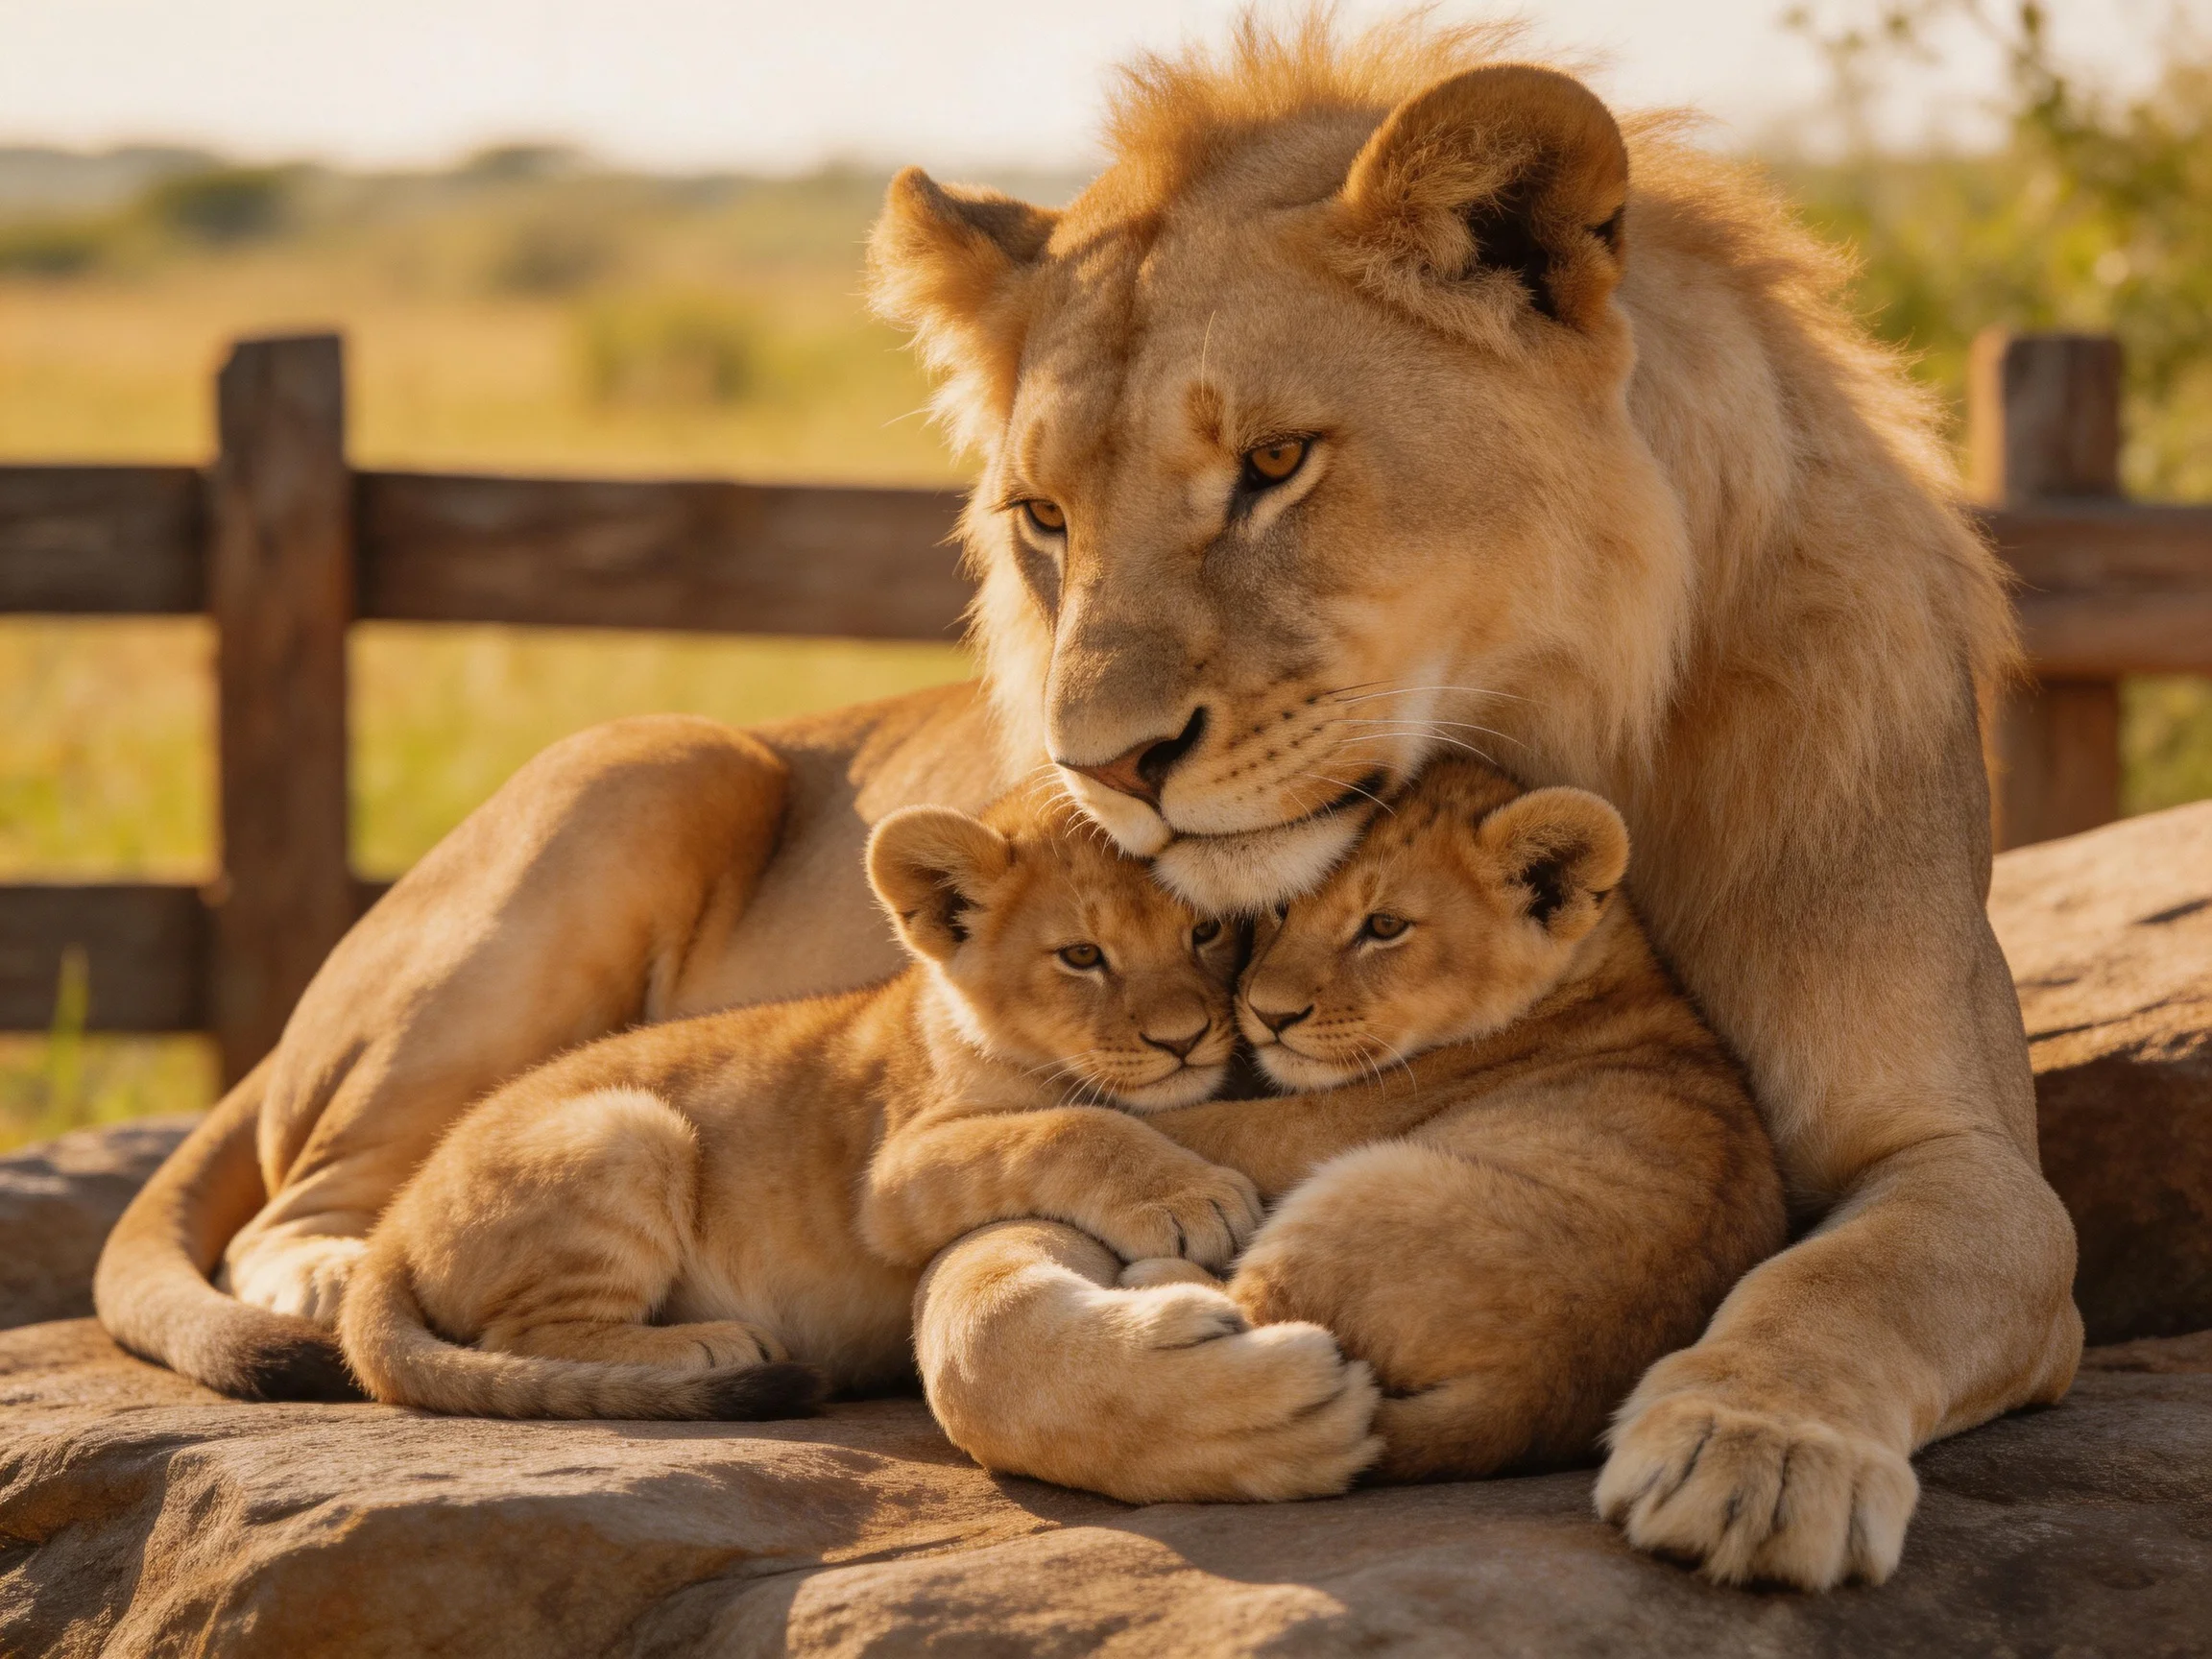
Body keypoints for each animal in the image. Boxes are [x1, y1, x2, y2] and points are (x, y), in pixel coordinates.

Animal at [336, 786, 1355, 1435]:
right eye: (1081, 957)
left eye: (1206, 930)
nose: (1185, 1039)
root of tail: (393, 1220)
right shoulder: (894, 1177)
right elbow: (1071, 1125)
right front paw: (1191, 1200)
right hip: (629, 1127)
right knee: (521, 1336)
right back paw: (711, 1346)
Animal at [921, 757, 1786, 1524]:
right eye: (1279, 909)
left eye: (1384, 927)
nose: (1269, 1015)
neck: (1604, 971)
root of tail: (1533, 1393)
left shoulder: (1314, 1126)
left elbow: (1170, 1118)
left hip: (1361, 1190)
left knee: (1268, 1312)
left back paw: (1160, 1281)